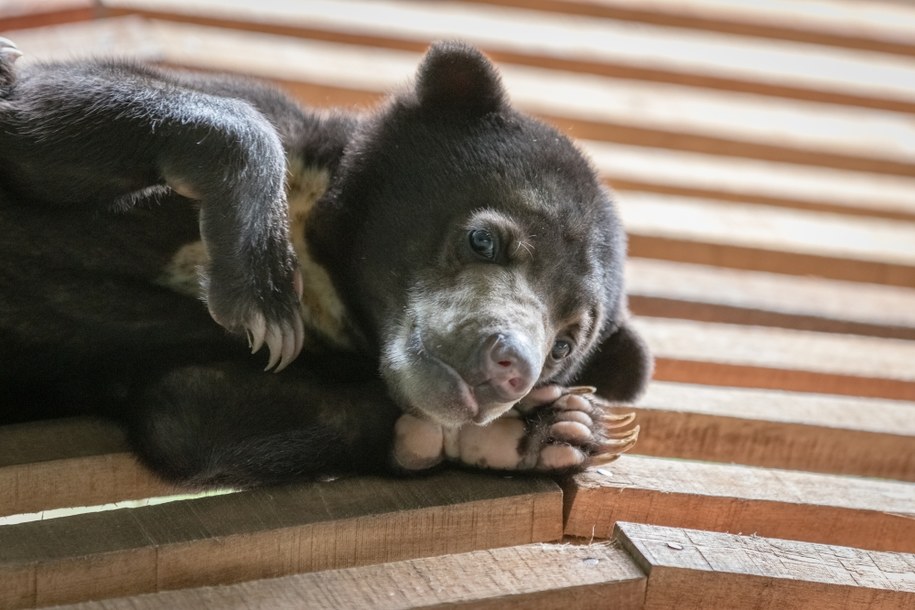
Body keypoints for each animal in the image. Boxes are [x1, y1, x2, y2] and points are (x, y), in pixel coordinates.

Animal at [0, 36, 652, 484]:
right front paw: (264, 294)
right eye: (484, 240)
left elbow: (187, 414)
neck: (328, 277)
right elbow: (41, 106)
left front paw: (553, 429)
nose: (510, 366)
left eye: (564, 345)